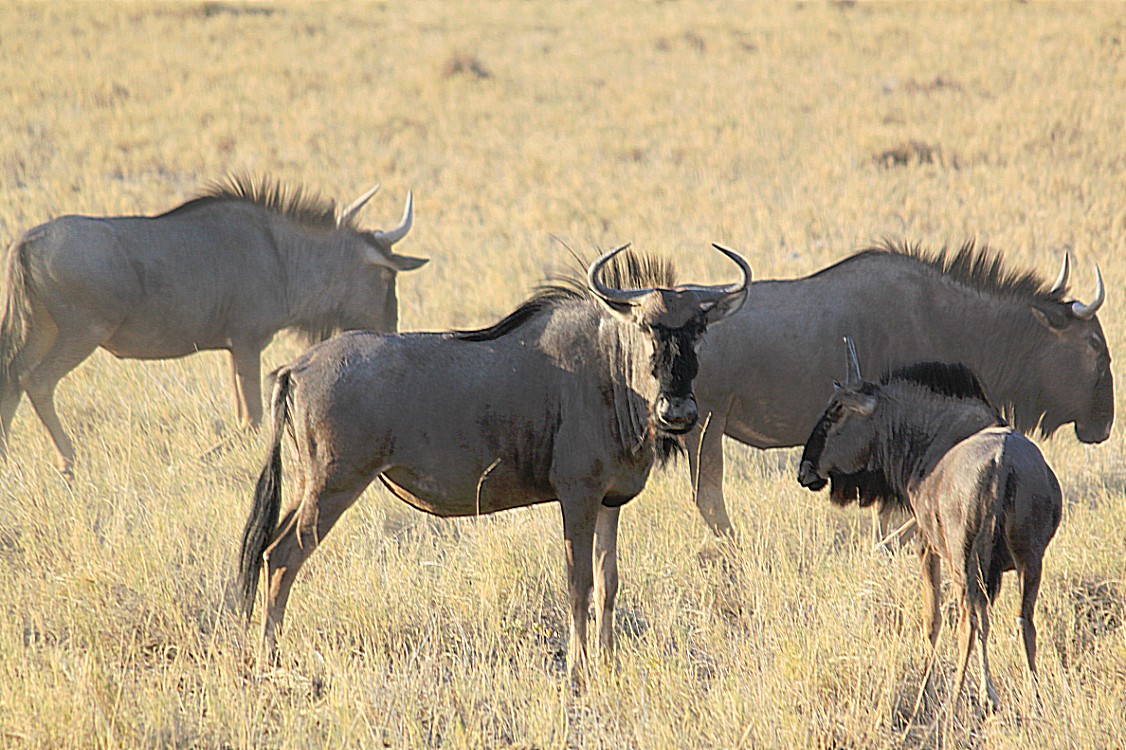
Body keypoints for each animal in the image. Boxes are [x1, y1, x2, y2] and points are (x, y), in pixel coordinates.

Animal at [797, 340, 1058, 711]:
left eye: (835, 411)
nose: (804, 470)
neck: (934, 436)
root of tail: (1001, 463)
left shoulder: (925, 545)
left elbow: (931, 619)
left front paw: (927, 684)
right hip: (1029, 563)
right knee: (1023, 621)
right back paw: (1032, 696)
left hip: (965, 564)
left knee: (968, 621)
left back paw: (959, 696)